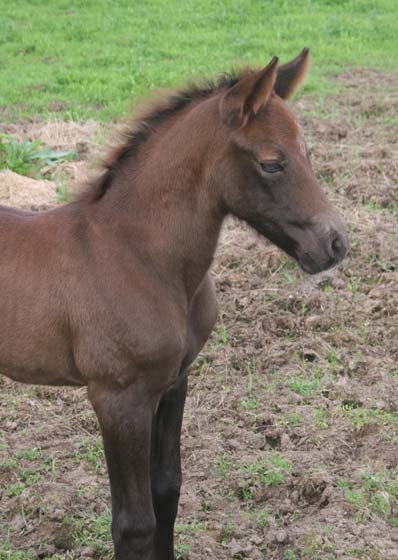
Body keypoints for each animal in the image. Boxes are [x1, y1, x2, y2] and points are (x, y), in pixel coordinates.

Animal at [0, 49, 346, 560]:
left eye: (309, 153)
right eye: (270, 163)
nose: (336, 244)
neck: (141, 256)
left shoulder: (174, 381)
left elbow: (167, 490)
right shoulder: (118, 397)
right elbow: (134, 523)